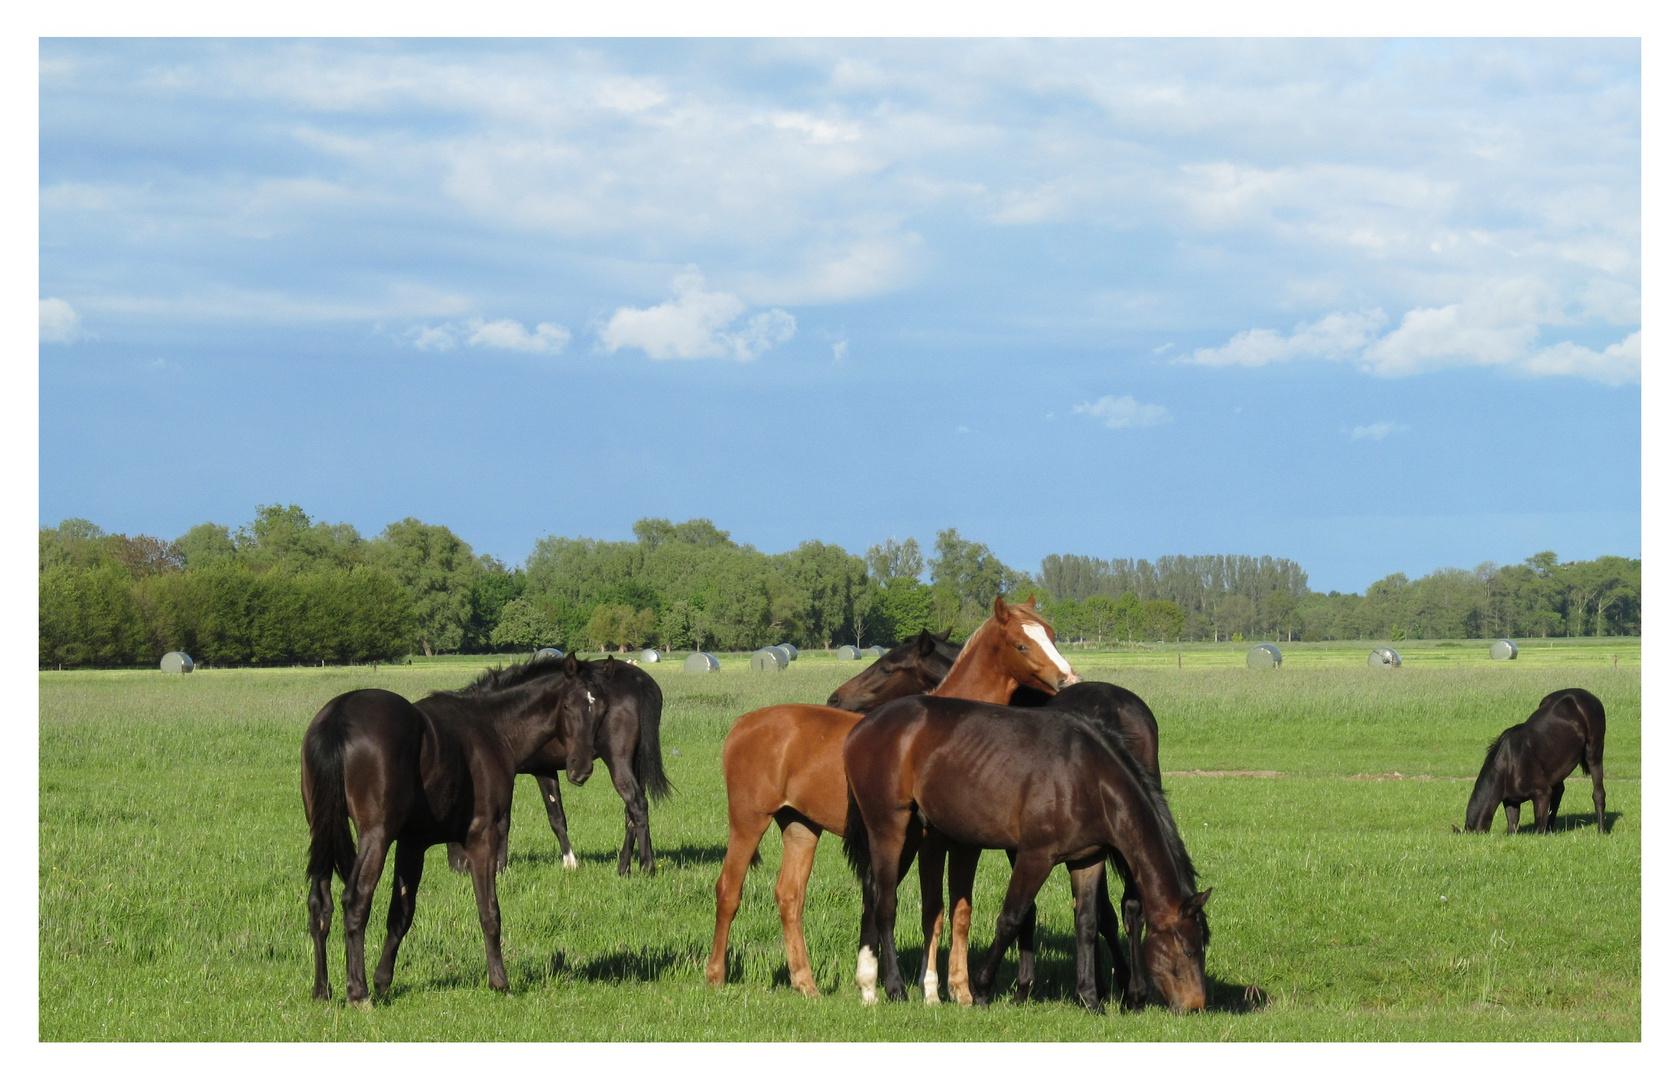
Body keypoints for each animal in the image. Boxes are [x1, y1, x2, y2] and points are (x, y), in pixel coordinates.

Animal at [300, 651, 604, 1007]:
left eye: (599, 709)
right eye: (568, 706)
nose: (581, 768)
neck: (490, 730)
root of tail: (338, 716)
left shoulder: (412, 844)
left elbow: (401, 914)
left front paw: (384, 980)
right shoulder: (482, 838)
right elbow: (489, 912)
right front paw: (499, 981)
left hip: (322, 831)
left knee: (320, 906)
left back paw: (322, 990)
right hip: (375, 836)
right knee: (355, 900)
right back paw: (358, 993)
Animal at [446, 655, 668, 873]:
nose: (458, 867)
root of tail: (639, 680)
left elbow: (503, 821)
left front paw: (499, 866)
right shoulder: (545, 770)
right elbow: (557, 818)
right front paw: (570, 862)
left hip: (618, 762)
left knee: (636, 803)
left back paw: (647, 866)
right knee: (630, 811)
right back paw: (624, 866)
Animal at [705, 594, 1075, 1001]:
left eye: (1052, 636)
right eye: (1021, 644)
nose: (1067, 678)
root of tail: (742, 724)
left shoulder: (962, 844)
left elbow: (958, 913)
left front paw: (959, 990)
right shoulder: (928, 844)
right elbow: (929, 910)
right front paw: (924, 989)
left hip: (801, 827)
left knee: (789, 897)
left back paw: (806, 983)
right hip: (748, 821)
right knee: (728, 890)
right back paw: (716, 975)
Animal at [840, 698, 1209, 1021]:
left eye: (1203, 949)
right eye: (1189, 951)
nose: (1195, 1006)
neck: (1088, 776)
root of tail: (862, 727)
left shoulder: (1088, 860)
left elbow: (1087, 924)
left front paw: (1091, 999)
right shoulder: (1035, 856)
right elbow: (1012, 918)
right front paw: (982, 990)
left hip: (915, 832)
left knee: (872, 893)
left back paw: (869, 985)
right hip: (889, 827)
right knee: (886, 905)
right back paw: (895, 987)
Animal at [1464, 685, 1606, 836]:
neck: (1508, 765)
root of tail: (1589, 695)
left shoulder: (1542, 794)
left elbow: (1538, 829)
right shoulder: (1511, 801)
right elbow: (1512, 828)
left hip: (1594, 753)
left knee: (1598, 794)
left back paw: (1601, 830)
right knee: (1558, 793)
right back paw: (1551, 829)